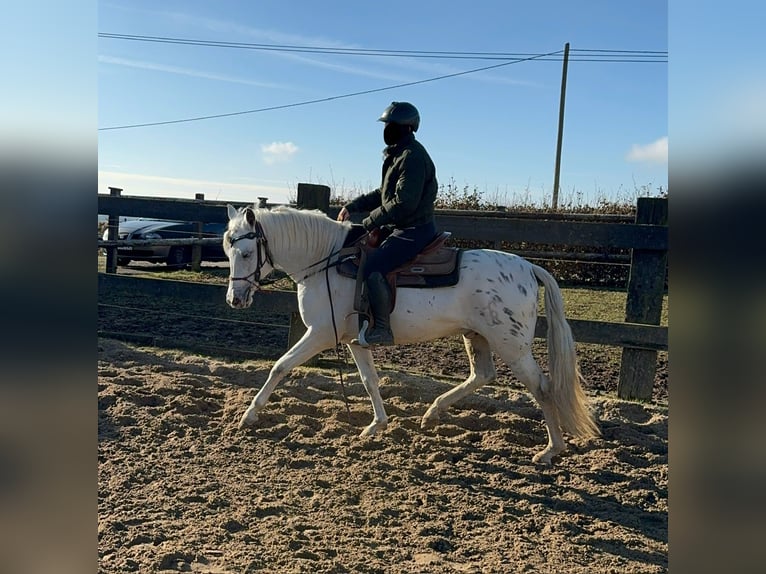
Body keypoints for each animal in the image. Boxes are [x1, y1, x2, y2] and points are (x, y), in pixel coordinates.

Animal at [225, 205, 604, 466]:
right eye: (228, 252)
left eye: (245, 253)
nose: (235, 300)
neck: (326, 262)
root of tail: (528, 267)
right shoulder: (353, 340)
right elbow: (370, 381)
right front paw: (376, 426)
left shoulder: (319, 334)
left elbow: (280, 366)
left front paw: (249, 416)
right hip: (477, 337)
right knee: (482, 375)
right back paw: (432, 413)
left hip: (512, 346)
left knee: (542, 387)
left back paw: (550, 450)